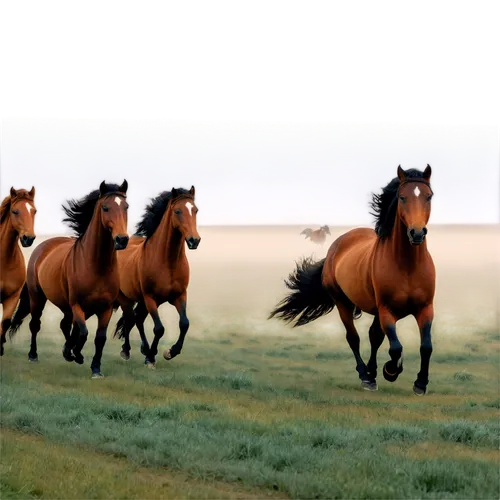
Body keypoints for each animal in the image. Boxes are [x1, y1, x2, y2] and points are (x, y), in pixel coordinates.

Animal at [8, 182, 129, 376]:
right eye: (105, 207)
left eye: (126, 207)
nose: (122, 239)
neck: (97, 266)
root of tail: (42, 246)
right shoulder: (77, 304)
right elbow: (83, 333)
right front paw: (76, 354)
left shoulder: (106, 308)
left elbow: (99, 337)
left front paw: (95, 368)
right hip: (37, 298)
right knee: (36, 324)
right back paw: (34, 355)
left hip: (66, 306)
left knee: (65, 325)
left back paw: (68, 351)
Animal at [112, 187, 200, 368]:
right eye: (178, 211)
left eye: (196, 210)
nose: (194, 240)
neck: (168, 262)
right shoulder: (150, 298)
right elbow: (159, 329)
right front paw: (152, 356)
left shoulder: (180, 296)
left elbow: (184, 324)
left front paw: (170, 352)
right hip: (127, 299)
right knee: (131, 320)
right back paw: (128, 351)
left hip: (141, 301)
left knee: (136, 320)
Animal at [268, 166, 436, 396]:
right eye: (402, 197)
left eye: (429, 196)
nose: (417, 233)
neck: (407, 266)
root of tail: (336, 245)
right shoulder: (386, 310)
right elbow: (395, 348)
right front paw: (391, 371)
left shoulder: (425, 308)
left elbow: (426, 346)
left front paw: (421, 383)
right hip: (343, 303)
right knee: (354, 338)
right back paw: (366, 377)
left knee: (374, 336)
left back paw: (372, 372)